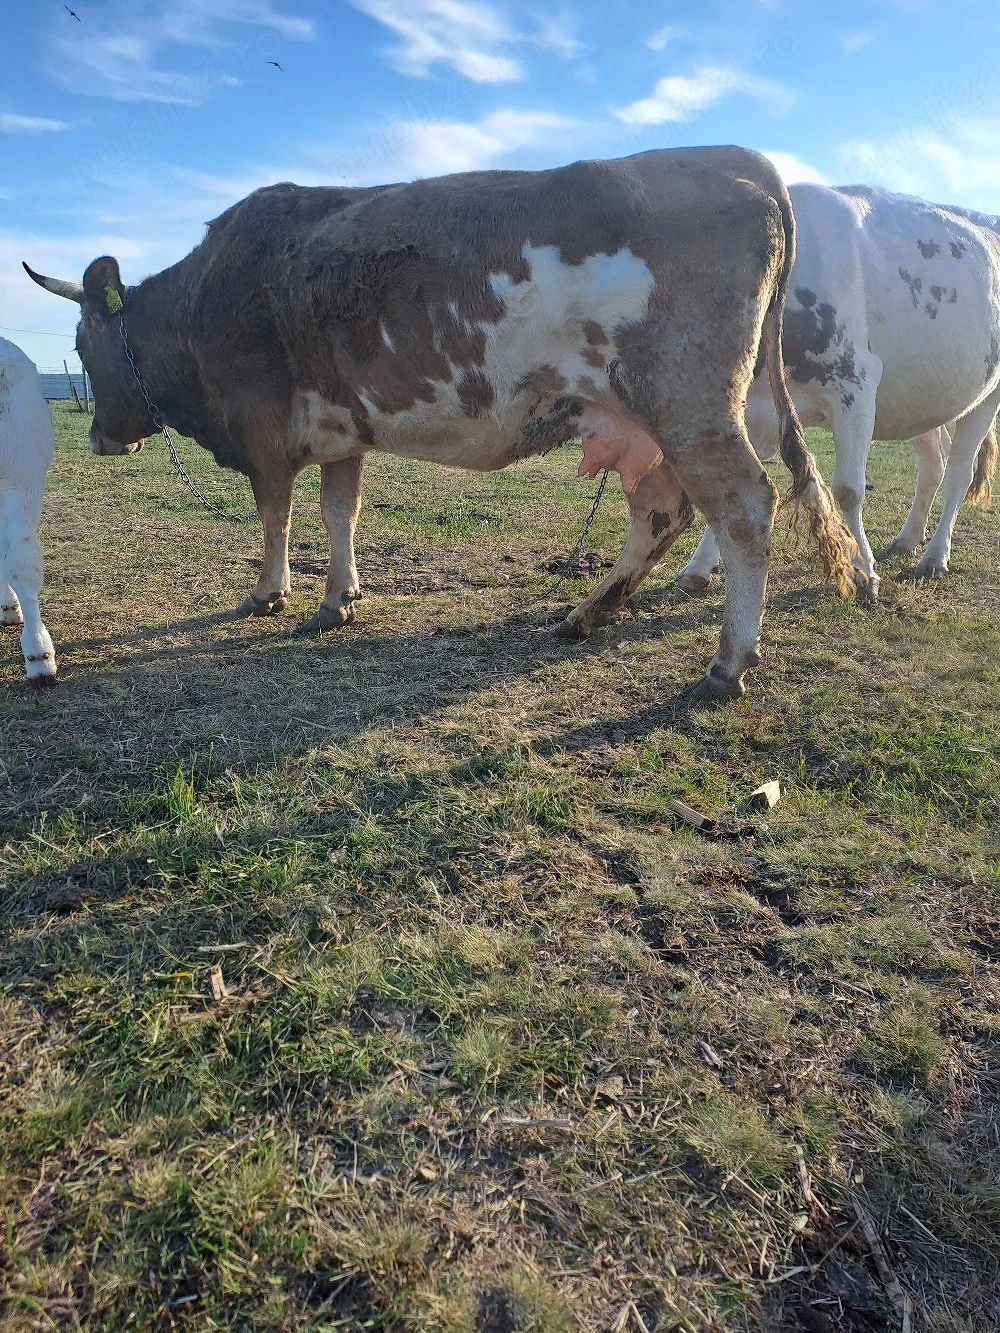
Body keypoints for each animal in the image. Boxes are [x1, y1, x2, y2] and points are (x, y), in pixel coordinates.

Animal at [24, 147, 857, 700]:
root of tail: (734, 158)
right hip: (656, 422)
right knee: (661, 512)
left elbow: (275, 515)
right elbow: (338, 511)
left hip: (687, 402)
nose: (101, 435)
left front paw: (268, 594)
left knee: (744, 506)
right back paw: (587, 612)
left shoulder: (263, 429)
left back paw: (726, 662)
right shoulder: (342, 431)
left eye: (80, 345)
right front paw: (338, 597)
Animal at [675, 183, 1000, 601]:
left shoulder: (855, 382)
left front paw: (864, 572)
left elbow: (848, 490)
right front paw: (699, 566)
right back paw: (907, 539)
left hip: (986, 396)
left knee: (959, 473)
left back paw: (934, 557)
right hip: (920, 396)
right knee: (933, 463)